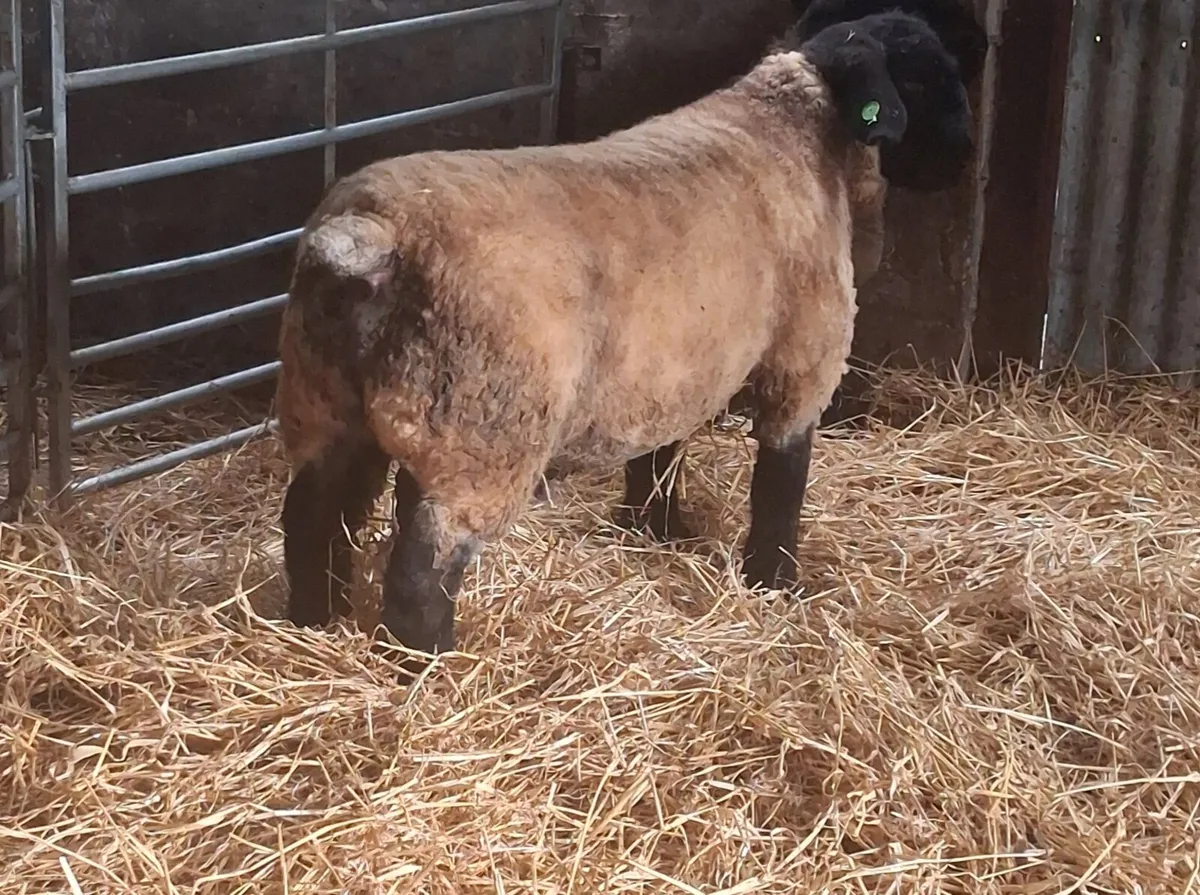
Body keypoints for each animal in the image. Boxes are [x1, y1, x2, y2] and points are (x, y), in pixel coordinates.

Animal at [274, 11, 975, 668]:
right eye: (921, 76)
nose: (966, 157)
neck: (794, 133)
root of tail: (368, 237)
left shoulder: (676, 364)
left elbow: (659, 453)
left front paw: (657, 531)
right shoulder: (804, 356)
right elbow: (783, 480)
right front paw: (775, 582)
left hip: (330, 405)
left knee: (310, 520)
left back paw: (314, 627)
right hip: (480, 430)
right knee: (422, 576)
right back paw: (431, 671)